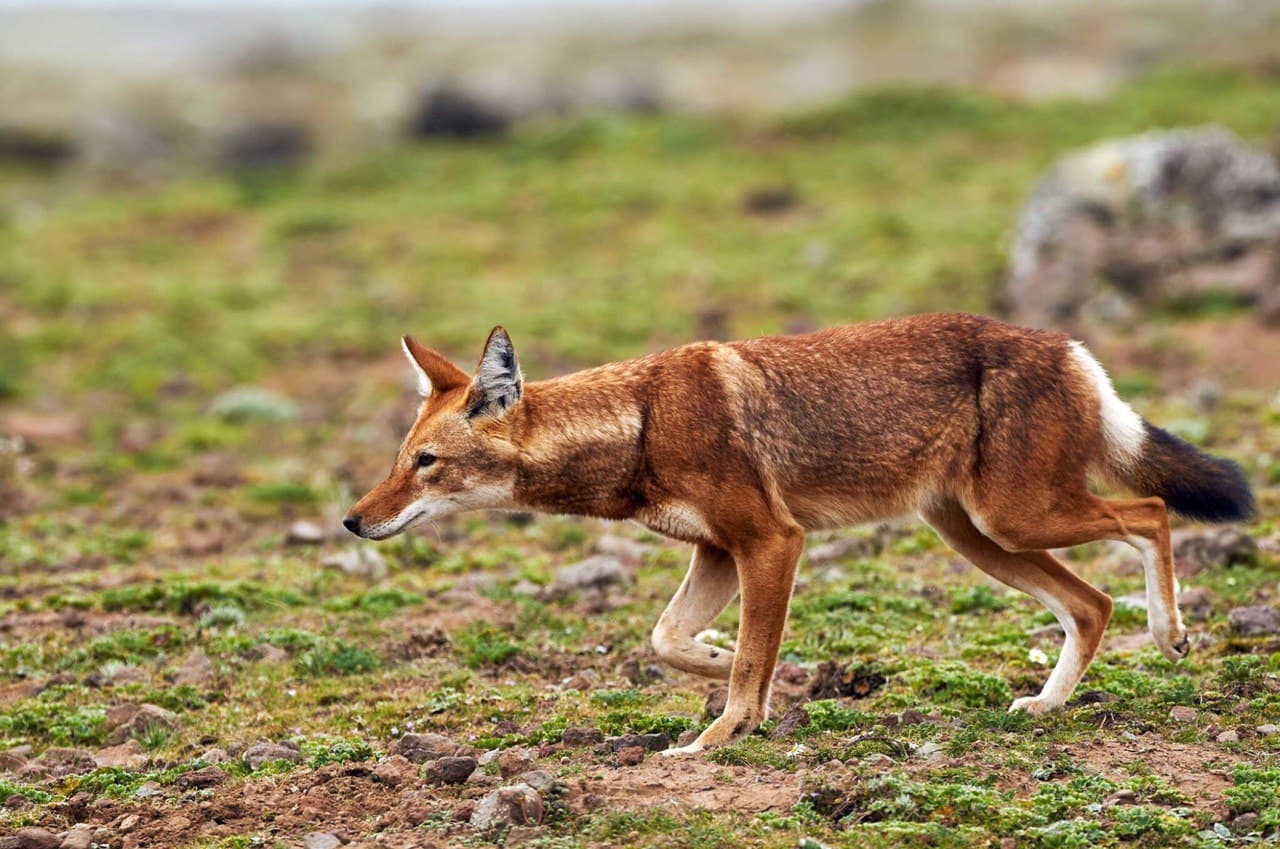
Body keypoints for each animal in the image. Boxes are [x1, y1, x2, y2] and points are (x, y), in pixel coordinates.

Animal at [344, 313, 1255, 754]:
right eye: (398, 459)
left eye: (426, 462)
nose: (354, 519)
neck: (640, 421)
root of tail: (1065, 343)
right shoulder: (718, 551)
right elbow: (672, 640)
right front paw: (766, 670)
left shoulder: (772, 542)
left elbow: (748, 659)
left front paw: (717, 737)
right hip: (980, 535)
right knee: (1092, 601)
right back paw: (1048, 703)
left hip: (1016, 516)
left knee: (1151, 513)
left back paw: (1170, 634)